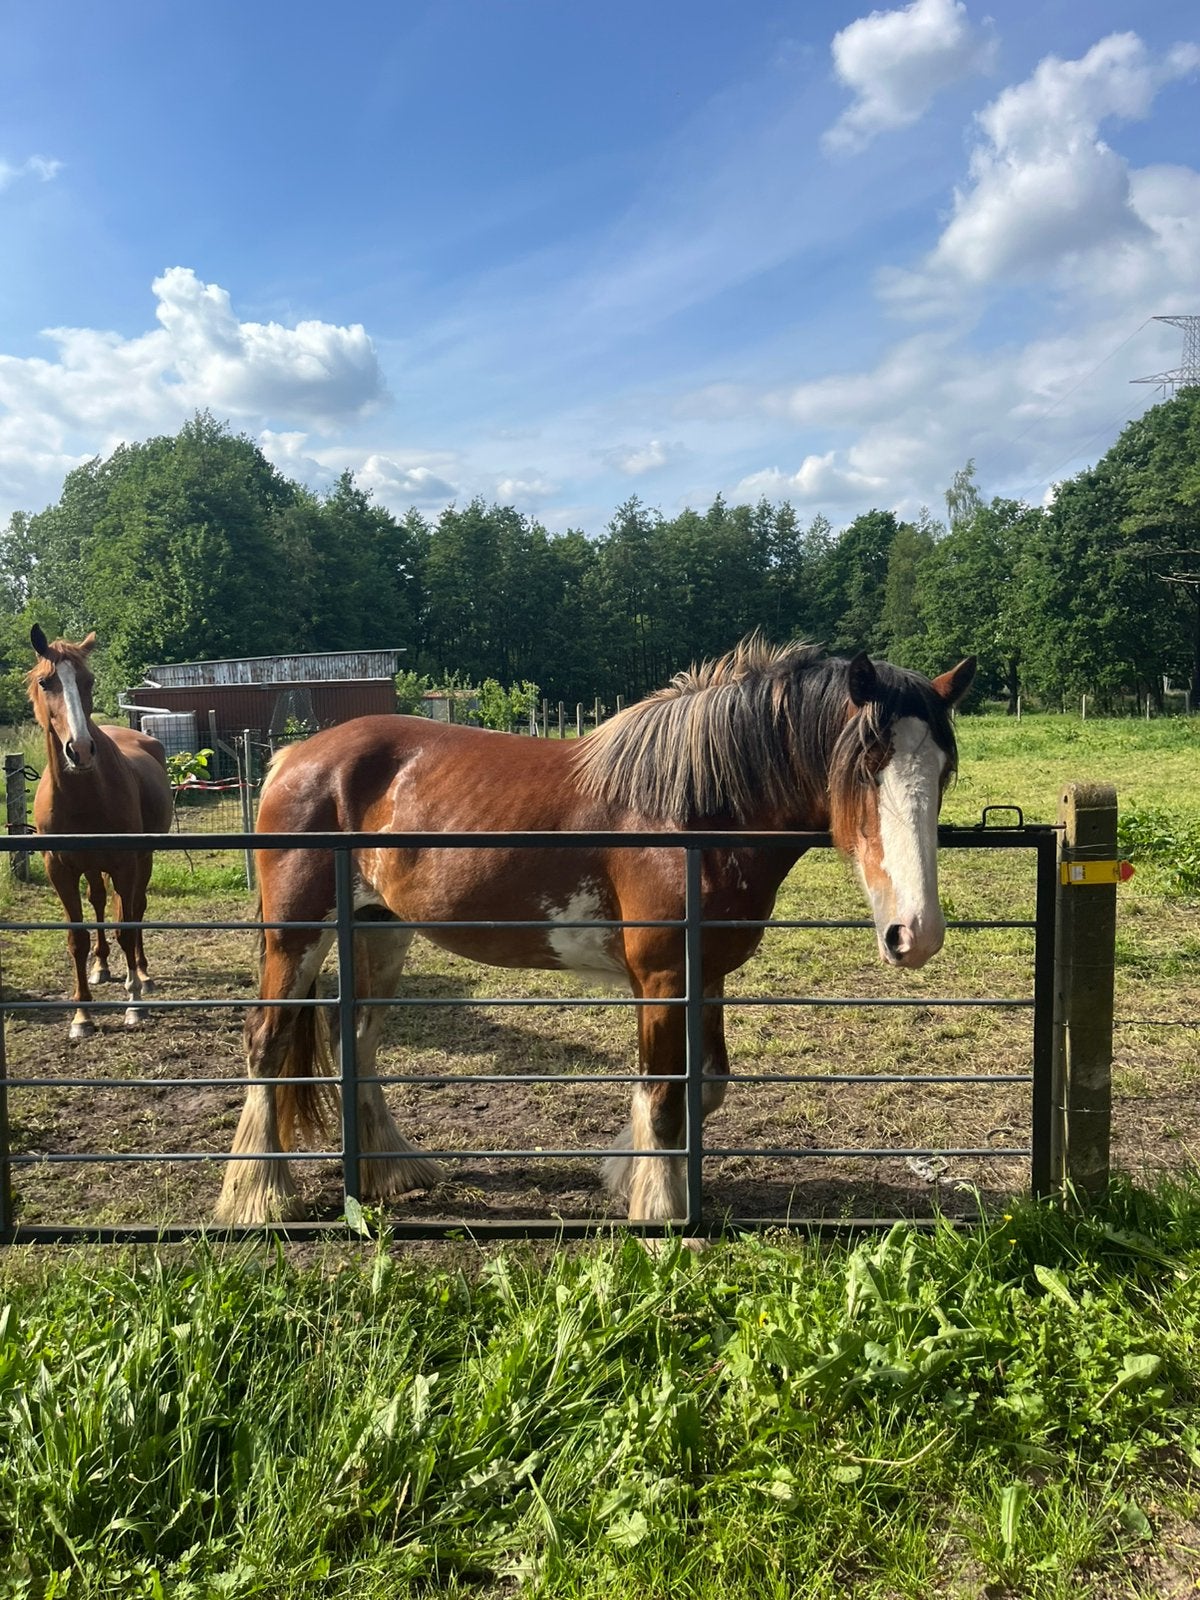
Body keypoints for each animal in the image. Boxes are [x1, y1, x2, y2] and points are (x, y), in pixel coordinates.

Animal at [26, 626, 174, 1039]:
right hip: (93, 867)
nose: (79, 750)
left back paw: (141, 973)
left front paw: (134, 1004)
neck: (85, 795)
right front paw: (82, 1015)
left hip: (142, 860)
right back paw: (102, 966)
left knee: (136, 909)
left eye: (88, 681)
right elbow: (77, 938)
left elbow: (127, 925)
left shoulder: (125, 863)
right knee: (98, 901)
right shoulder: (59, 870)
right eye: (45, 682)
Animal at [216, 638, 974, 1226]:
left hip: (379, 931)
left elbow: (705, 1086)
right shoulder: (663, 978)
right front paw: (661, 1208)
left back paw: (391, 1172)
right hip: (295, 934)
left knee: (357, 1038)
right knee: (266, 1039)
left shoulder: (706, 975)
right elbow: (664, 1094)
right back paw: (259, 1195)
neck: (692, 813)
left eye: (943, 770)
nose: (916, 933)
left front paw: (626, 1171)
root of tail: (290, 758)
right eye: (867, 764)